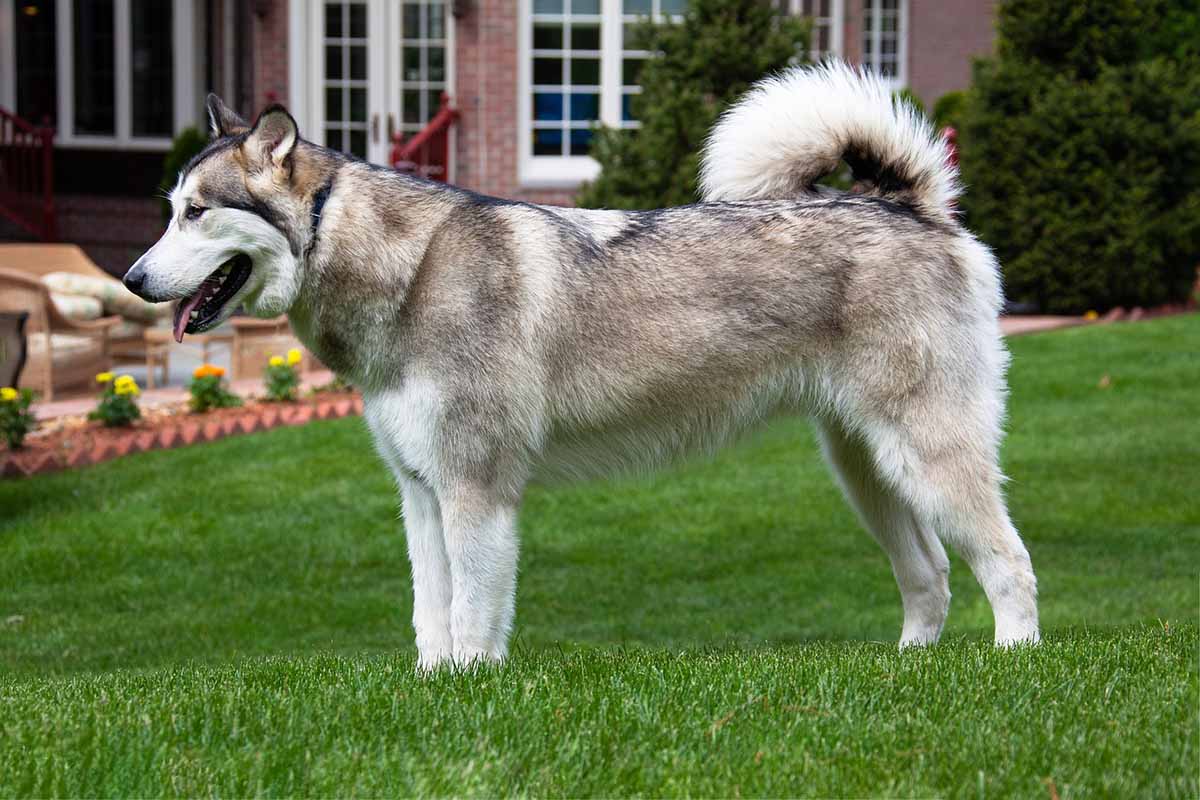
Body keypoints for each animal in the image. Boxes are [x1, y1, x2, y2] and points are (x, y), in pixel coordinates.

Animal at [124, 62, 1041, 666]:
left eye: (196, 213)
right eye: (168, 211)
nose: (131, 280)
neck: (405, 269)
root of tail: (914, 208)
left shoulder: (476, 490)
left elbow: (472, 619)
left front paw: (470, 690)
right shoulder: (421, 494)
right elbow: (431, 617)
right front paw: (431, 692)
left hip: (927, 458)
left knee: (1009, 564)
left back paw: (1011, 668)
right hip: (866, 470)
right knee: (930, 576)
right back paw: (909, 673)